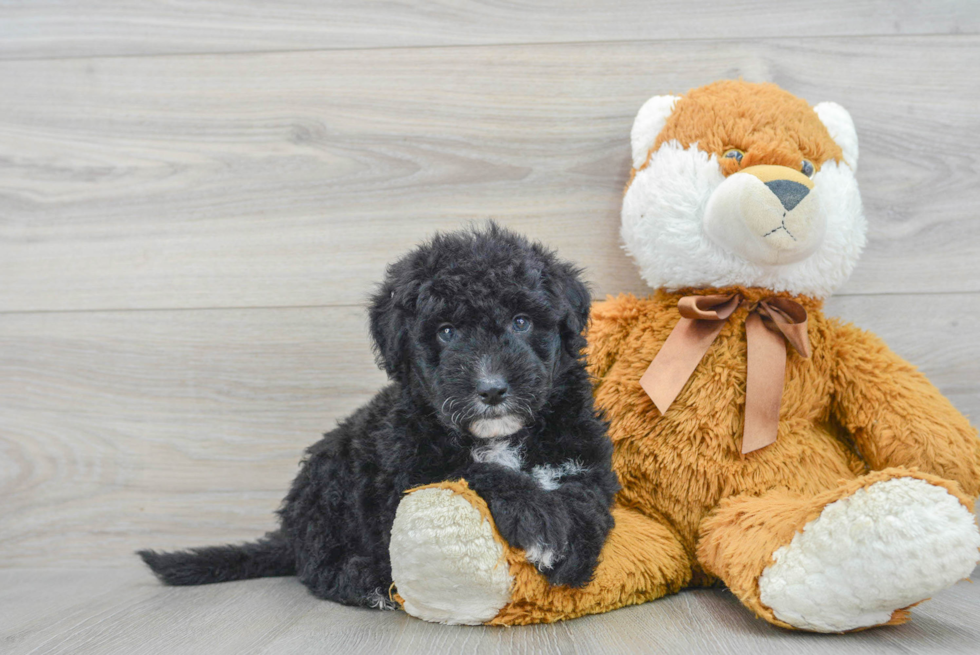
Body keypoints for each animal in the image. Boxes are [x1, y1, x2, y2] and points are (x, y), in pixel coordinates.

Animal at [138, 224, 616, 608]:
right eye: (446, 332)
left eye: (521, 322)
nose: (492, 389)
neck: (498, 437)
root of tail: (289, 532)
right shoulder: (409, 472)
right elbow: (475, 471)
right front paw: (540, 522)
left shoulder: (581, 455)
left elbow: (588, 500)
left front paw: (572, 549)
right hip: (329, 485)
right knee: (319, 565)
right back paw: (367, 581)